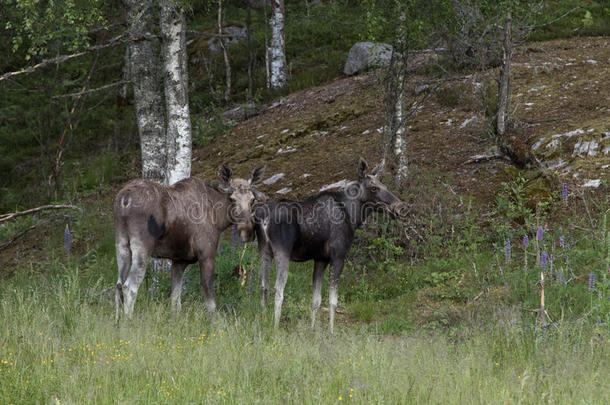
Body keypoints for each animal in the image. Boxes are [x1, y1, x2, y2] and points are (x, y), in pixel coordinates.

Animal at [113, 164, 264, 318]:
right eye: (232, 199)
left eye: (252, 200)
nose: (248, 232)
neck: (218, 219)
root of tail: (124, 199)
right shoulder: (206, 255)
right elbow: (210, 301)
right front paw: (215, 321)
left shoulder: (179, 261)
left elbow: (175, 299)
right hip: (142, 247)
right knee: (129, 287)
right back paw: (128, 320)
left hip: (122, 245)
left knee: (118, 285)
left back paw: (118, 320)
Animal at [253, 158, 404, 332]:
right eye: (374, 187)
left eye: (385, 186)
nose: (399, 207)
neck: (353, 216)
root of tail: (263, 216)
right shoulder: (338, 256)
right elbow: (333, 301)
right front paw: (331, 331)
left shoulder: (320, 259)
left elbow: (316, 300)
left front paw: (312, 330)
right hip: (282, 252)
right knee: (278, 290)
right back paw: (275, 327)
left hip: (264, 251)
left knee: (263, 287)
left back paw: (263, 321)